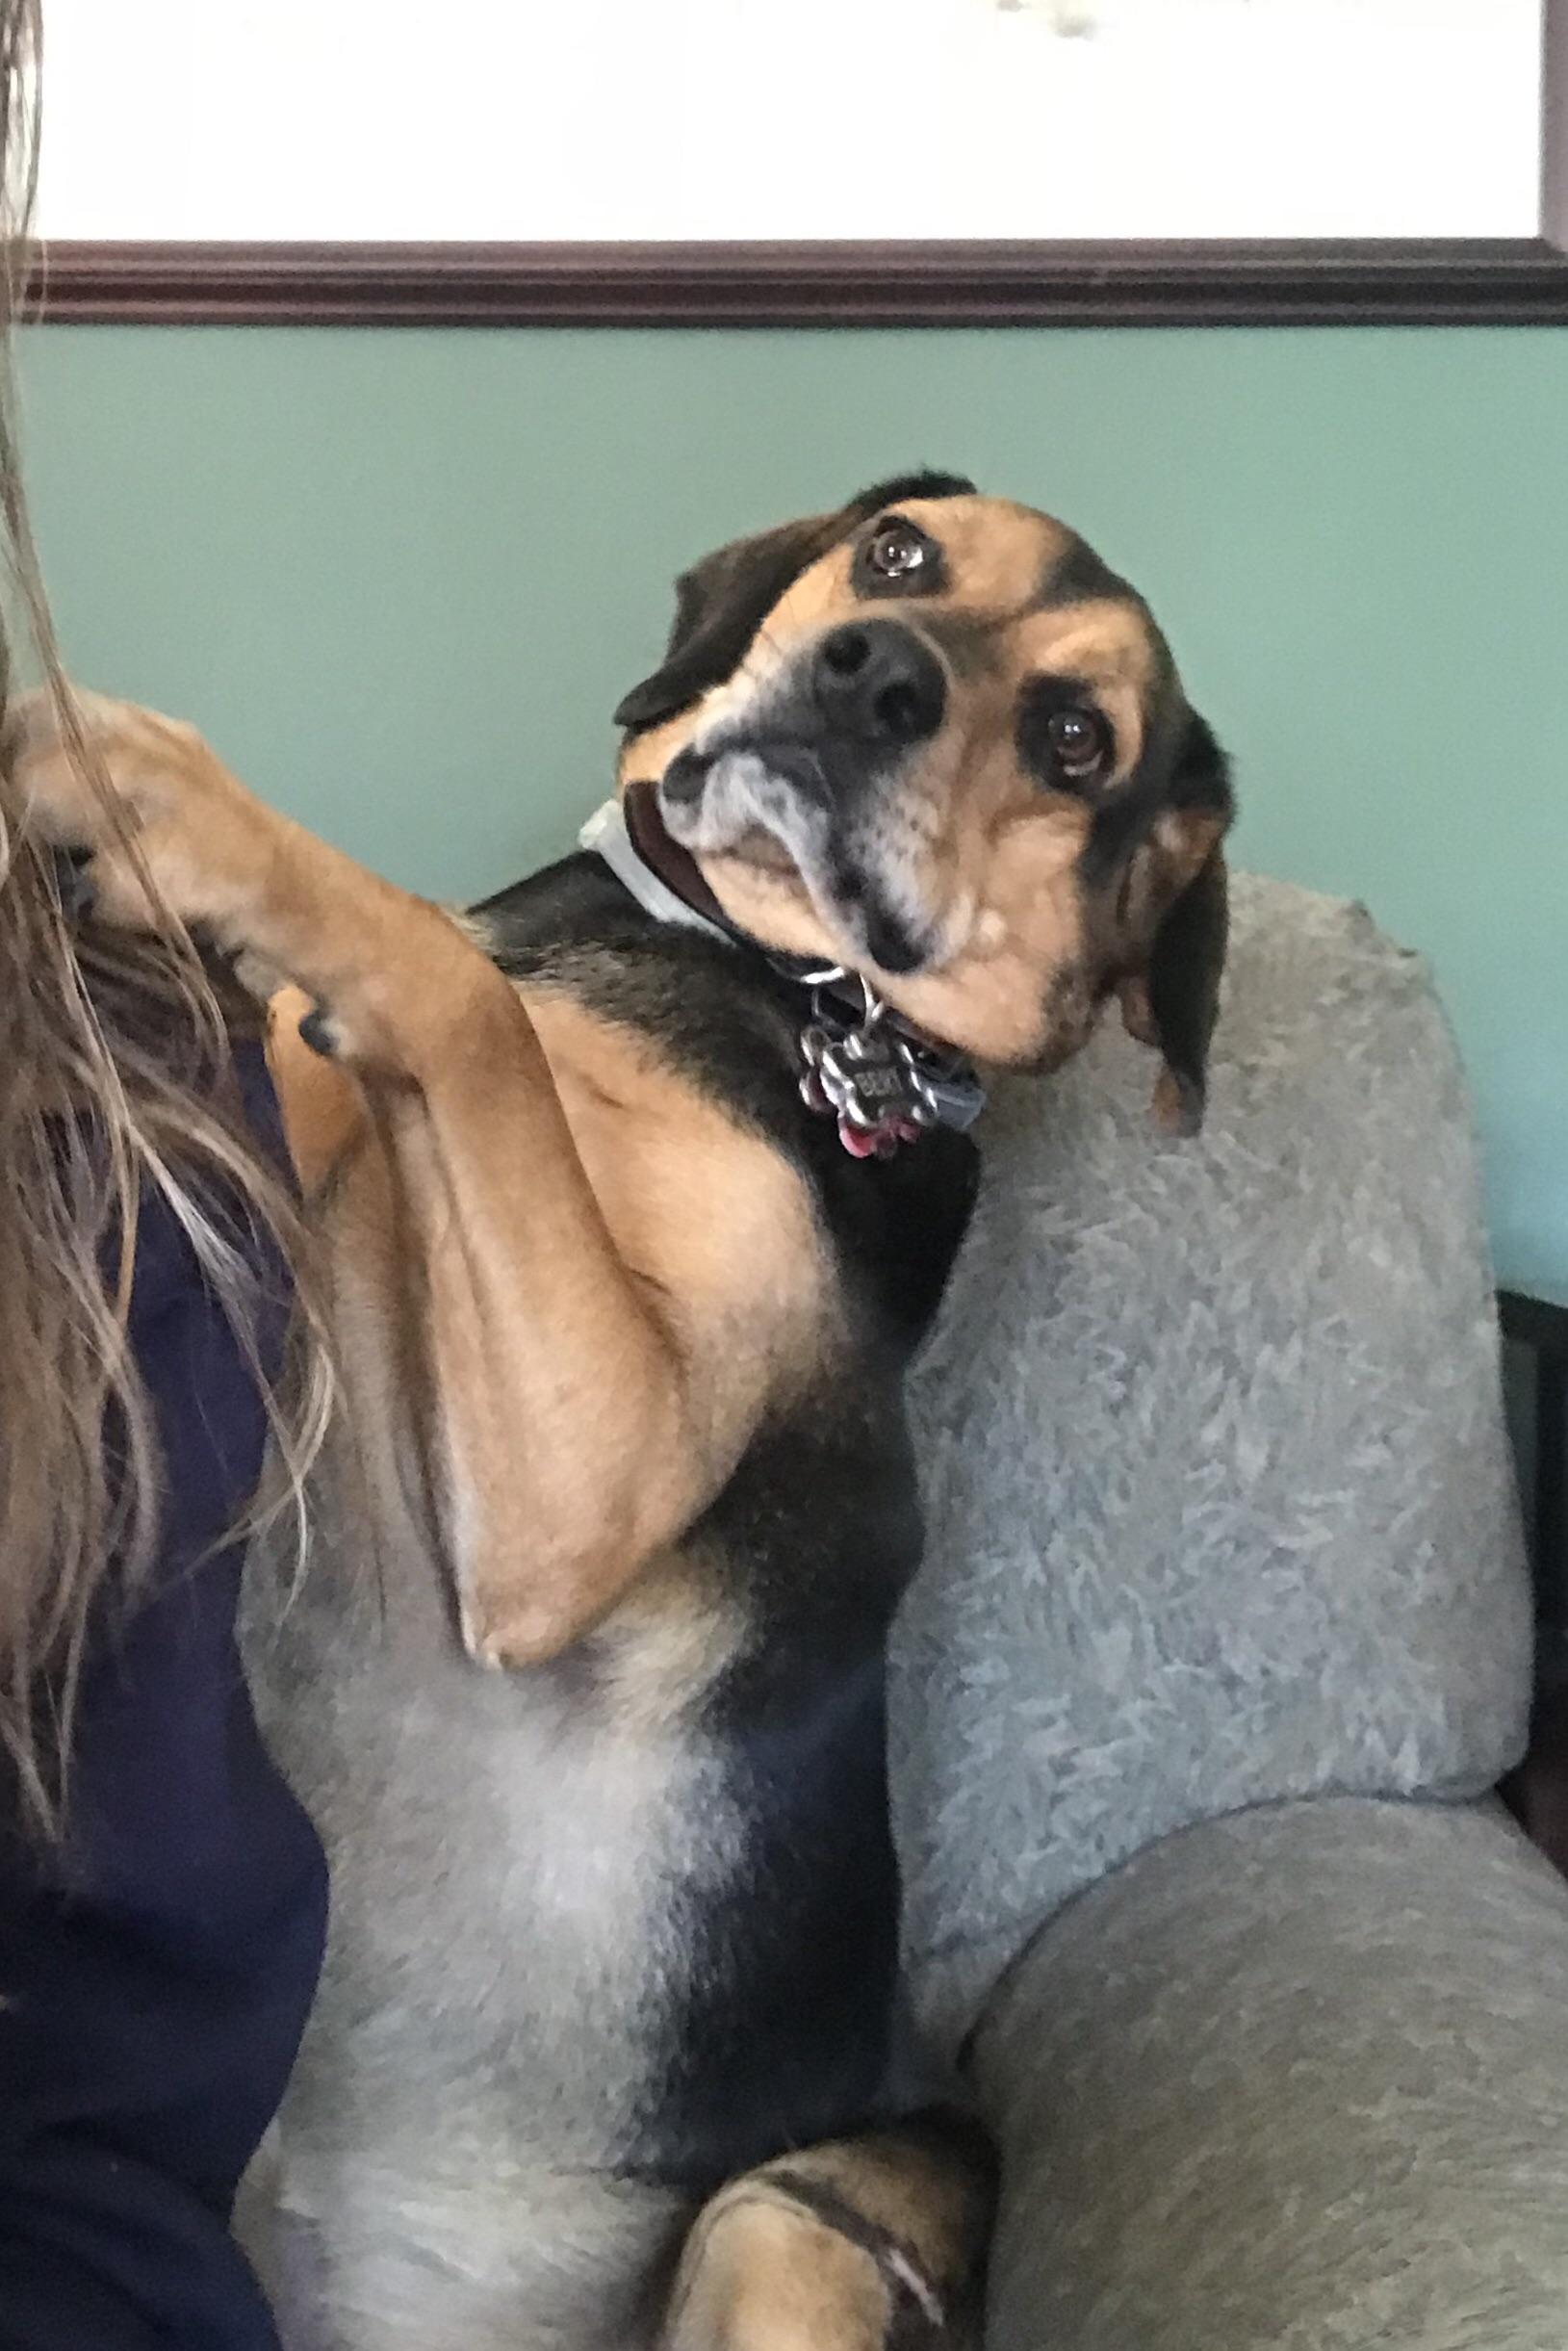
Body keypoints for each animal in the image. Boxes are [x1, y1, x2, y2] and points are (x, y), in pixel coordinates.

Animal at [14, 477, 1241, 2351]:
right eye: (901, 552)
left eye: (1071, 739)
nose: (872, 671)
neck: (755, 980)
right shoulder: (286, 1118)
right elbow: (376, 1027)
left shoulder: (575, 1504)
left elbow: (454, 995)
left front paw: (189, 813)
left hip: (786, 2217)